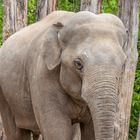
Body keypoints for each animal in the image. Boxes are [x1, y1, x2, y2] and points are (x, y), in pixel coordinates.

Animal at [0, 10, 127, 140]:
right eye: (78, 64)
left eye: (123, 64)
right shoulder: (42, 73)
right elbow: (57, 131)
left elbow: (90, 131)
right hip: (5, 96)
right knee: (16, 132)